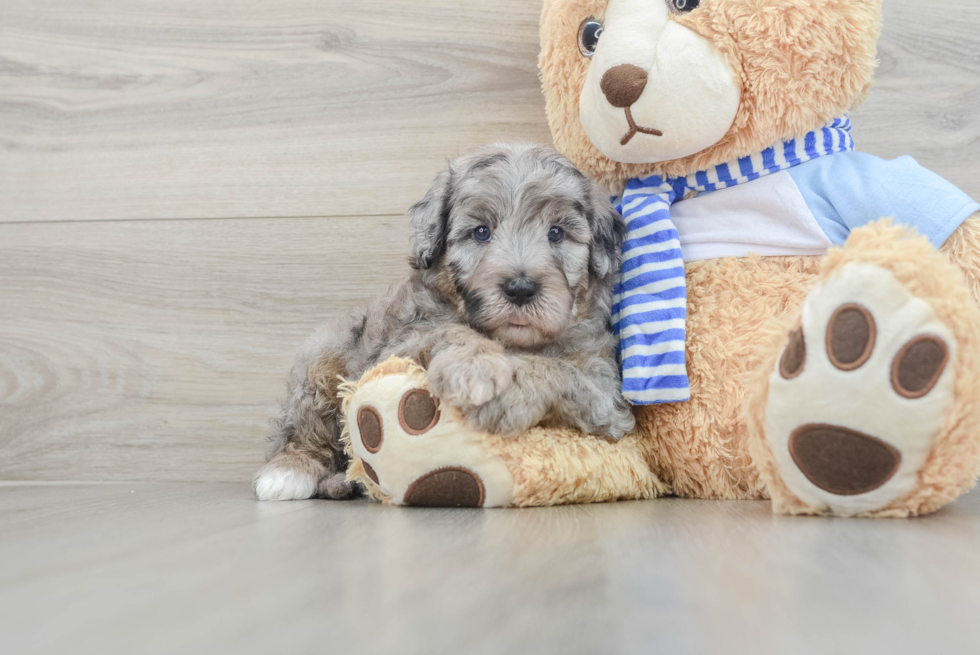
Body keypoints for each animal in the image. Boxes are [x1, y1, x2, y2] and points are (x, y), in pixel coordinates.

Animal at [253, 144, 636, 502]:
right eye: (481, 232)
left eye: (556, 233)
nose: (520, 288)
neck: (512, 342)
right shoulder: (398, 345)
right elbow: (451, 330)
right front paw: (476, 367)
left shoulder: (605, 392)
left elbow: (559, 372)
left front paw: (507, 394)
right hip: (322, 363)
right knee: (301, 429)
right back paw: (289, 472)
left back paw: (344, 483)